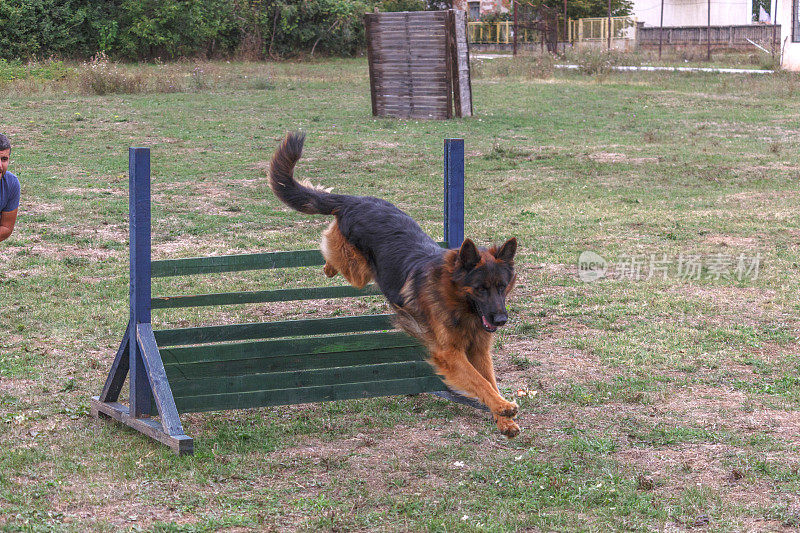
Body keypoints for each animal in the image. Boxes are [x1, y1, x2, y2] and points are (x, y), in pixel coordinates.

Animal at [268, 132, 520, 436]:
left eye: (502, 286)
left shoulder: (479, 351)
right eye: (481, 288)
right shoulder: (450, 354)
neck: (456, 300)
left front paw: (503, 417)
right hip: (358, 270)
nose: (501, 319)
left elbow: (489, 381)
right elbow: (479, 382)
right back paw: (328, 266)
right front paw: (503, 407)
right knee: (331, 250)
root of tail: (355, 200)